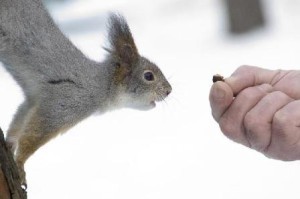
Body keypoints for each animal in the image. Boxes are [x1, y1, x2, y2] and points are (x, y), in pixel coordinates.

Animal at [0, 0, 171, 187]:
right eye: (148, 76)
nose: (169, 91)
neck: (101, 85)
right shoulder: (64, 103)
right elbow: (33, 136)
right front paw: (20, 165)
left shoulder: (35, 98)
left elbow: (19, 120)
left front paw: (10, 145)